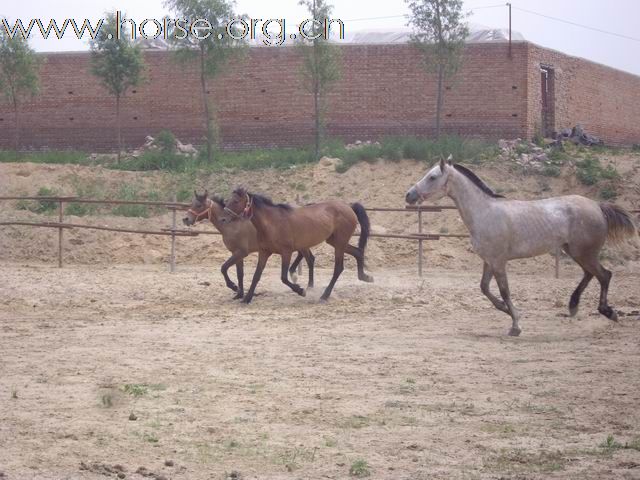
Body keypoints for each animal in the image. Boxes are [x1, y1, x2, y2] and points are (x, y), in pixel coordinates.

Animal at [182, 191, 316, 300]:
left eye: (199, 205)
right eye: (191, 203)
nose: (186, 219)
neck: (232, 224)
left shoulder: (241, 252)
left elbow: (224, 268)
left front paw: (234, 287)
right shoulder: (236, 253)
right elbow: (240, 274)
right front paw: (239, 294)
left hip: (301, 245)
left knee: (310, 259)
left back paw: (307, 285)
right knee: (307, 257)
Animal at [222, 188, 372, 304]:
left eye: (236, 201)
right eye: (228, 200)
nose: (223, 219)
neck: (272, 223)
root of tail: (349, 207)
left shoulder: (286, 252)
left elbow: (283, 277)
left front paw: (301, 290)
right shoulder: (264, 252)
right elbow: (256, 276)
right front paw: (246, 298)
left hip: (339, 243)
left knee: (338, 268)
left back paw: (324, 296)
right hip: (335, 241)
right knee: (358, 251)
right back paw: (365, 277)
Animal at [408, 156, 636, 336]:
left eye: (432, 177)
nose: (409, 196)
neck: (484, 213)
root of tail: (597, 206)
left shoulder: (499, 262)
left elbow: (504, 291)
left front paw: (515, 325)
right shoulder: (489, 261)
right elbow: (485, 288)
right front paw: (507, 311)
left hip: (584, 252)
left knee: (604, 275)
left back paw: (609, 312)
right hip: (573, 251)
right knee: (590, 274)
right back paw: (573, 306)